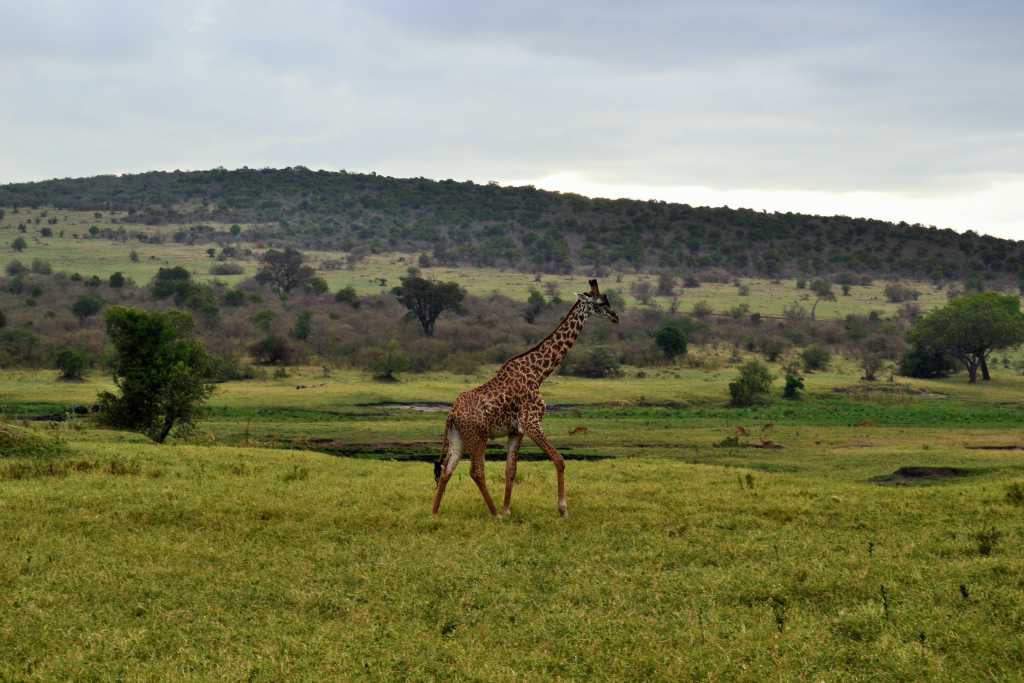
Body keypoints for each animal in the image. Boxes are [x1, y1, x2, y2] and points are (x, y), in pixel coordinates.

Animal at [430, 278, 614, 518]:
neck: (539, 373)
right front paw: (563, 509)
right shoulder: (532, 423)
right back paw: (493, 514)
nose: (615, 317)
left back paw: (435, 513)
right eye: (600, 303)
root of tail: (451, 414)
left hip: (457, 439)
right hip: (478, 437)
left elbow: (511, 469)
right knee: (476, 471)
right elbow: (559, 460)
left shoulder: (515, 431)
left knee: (446, 471)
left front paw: (508, 509)